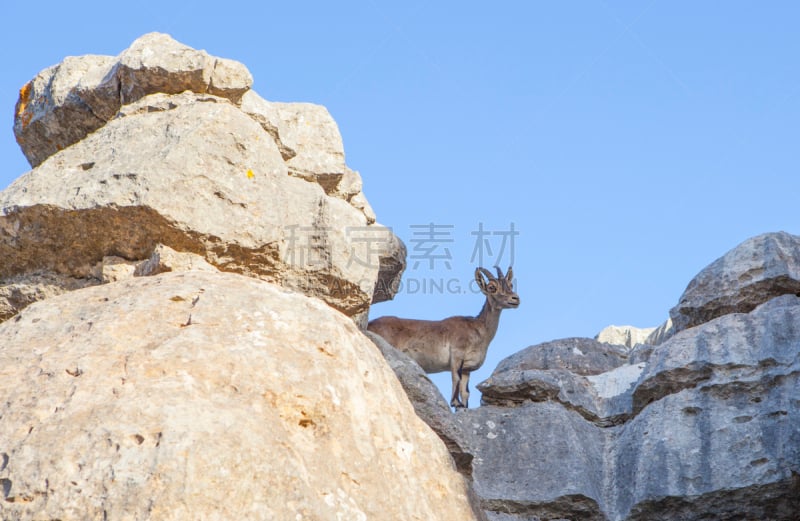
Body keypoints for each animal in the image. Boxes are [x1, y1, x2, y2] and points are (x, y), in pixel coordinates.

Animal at [368, 266, 520, 408]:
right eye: (492, 287)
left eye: (511, 285)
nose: (515, 299)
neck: (478, 330)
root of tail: (370, 324)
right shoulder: (457, 355)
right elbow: (456, 379)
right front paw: (455, 403)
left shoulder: (467, 369)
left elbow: (466, 392)